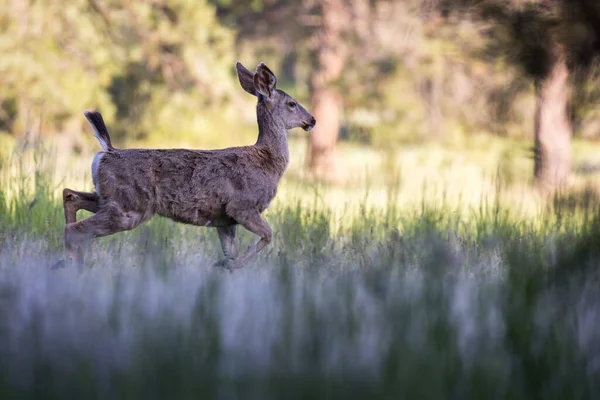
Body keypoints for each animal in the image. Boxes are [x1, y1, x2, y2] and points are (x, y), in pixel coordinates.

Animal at [54, 61, 316, 270]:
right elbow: (268, 236)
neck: (268, 162)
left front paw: (226, 267)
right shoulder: (242, 206)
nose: (312, 120)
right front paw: (226, 265)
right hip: (129, 206)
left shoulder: (225, 220)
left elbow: (231, 251)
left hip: (109, 197)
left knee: (70, 196)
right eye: (292, 103)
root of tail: (106, 152)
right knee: (75, 229)